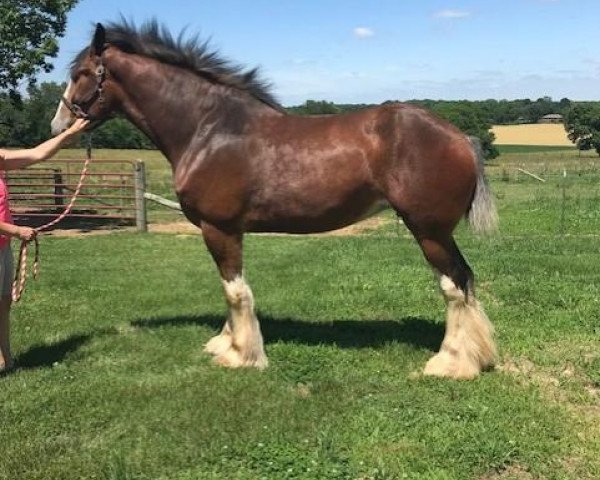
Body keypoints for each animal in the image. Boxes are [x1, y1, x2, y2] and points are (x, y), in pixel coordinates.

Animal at [52, 21, 502, 378]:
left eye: (82, 72)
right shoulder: (227, 231)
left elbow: (235, 291)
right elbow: (230, 290)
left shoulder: (219, 229)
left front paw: (241, 355)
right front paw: (226, 342)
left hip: (429, 231)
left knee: (455, 285)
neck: (209, 128)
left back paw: (451, 362)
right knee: (464, 282)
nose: (58, 123)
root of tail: (461, 136)